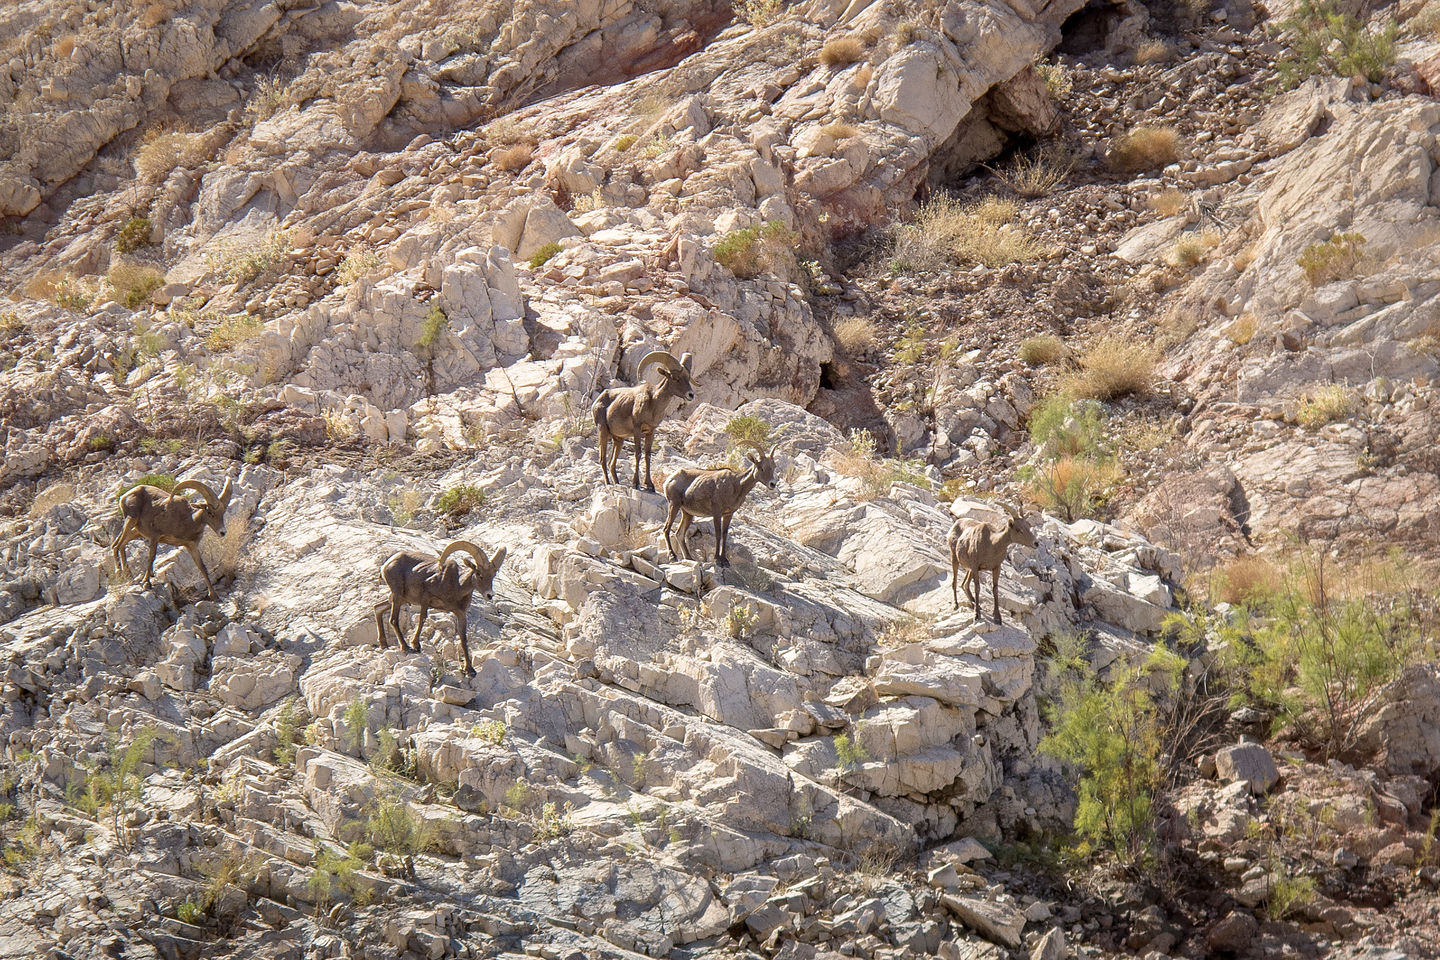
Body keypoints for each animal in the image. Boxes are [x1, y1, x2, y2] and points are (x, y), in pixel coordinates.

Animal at [374, 541, 509, 676]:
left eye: (492, 576)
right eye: (479, 574)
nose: (489, 595)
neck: (456, 585)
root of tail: (387, 564)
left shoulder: (461, 613)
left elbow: (463, 637)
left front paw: (469, 670)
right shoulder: (426, 598)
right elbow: (422, 619)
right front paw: (416, 645)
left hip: (400, 599)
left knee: (377, 608)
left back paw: (383, 644)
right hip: (397, 596)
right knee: (393, 619)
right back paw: (405, 647)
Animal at [587, 349, 694, 492]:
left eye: (688, 378)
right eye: (675, 378)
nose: (691, 395)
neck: (653, 404)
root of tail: (598, 400)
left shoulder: (651, 431)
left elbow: (648, 455)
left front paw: (650, 485)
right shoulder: (637, 429)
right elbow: (638, 454)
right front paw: (636, 484)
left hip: (618, 439)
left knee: (611, 462)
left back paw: (617, 483)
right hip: (602, 431)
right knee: (603, 459)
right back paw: (608, 483)